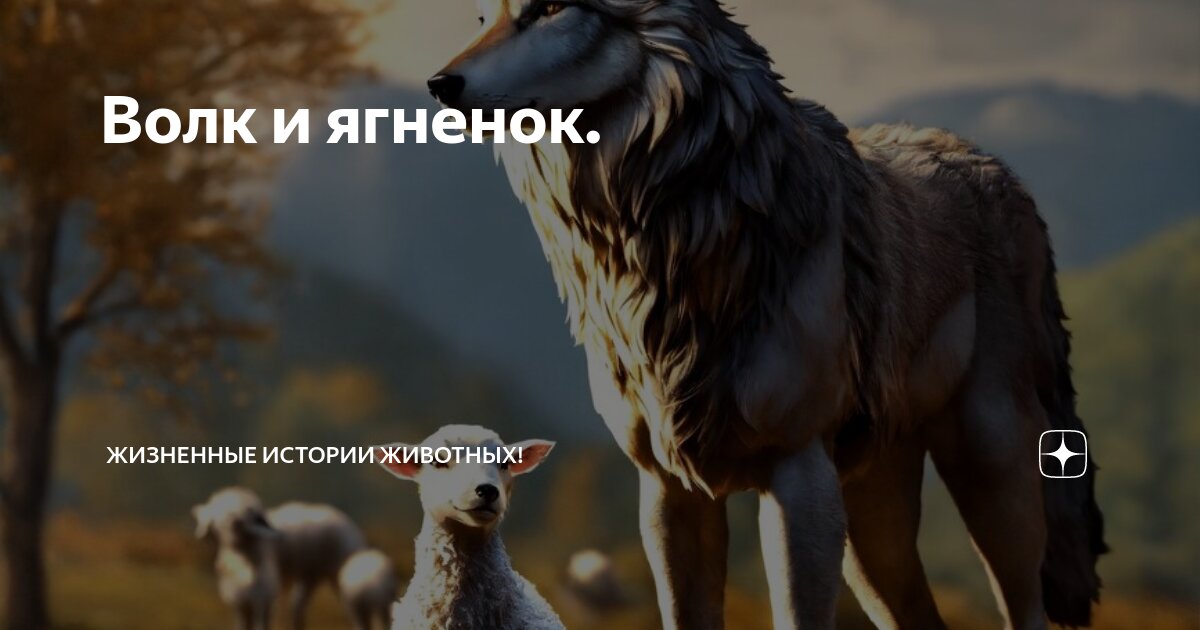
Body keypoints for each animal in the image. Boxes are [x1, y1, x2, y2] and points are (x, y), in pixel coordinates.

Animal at [426, 1, 1106, 628]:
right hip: (871, 524)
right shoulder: (668, 490)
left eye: (548, 11)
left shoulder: (797, 473)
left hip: (990, 468)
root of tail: (998, 170)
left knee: (1026, 605)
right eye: (484, 17)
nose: (437, 85)